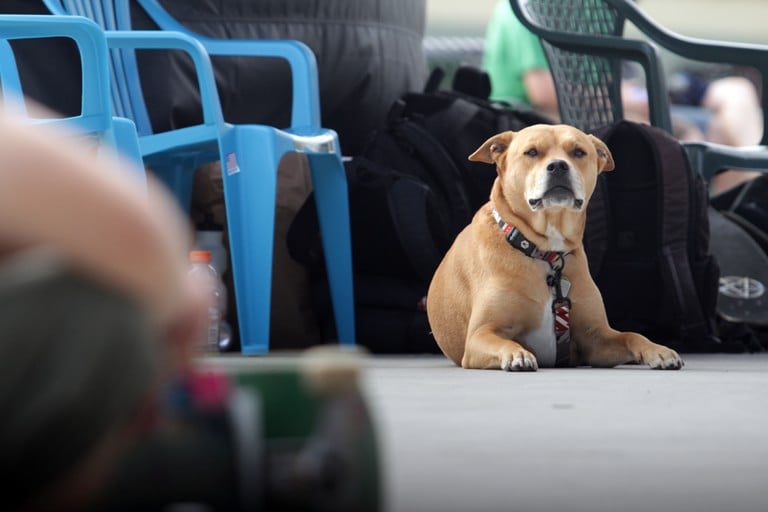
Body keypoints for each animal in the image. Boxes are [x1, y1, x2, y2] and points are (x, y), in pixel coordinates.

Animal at [426, 125, 684, 370]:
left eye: (578, 152)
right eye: (531, 152)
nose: (558, 166)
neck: (543, 252)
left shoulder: (594, 338)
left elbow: (631, 335)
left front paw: (658, 350)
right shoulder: (481, 334)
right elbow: (502, 342)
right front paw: (517, 354)